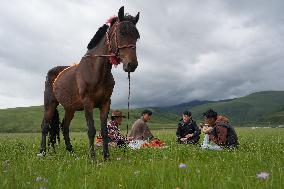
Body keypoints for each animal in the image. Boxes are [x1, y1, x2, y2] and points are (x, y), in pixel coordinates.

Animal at [38, 5, 140, 159]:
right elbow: (91, 129)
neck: (96, 71)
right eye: (122, 33)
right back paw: (42, 152)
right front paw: (92, 157)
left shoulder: (105, 103)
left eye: (137, 36)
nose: (131, 65)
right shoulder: (88, 103)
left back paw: (71, 151)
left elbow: (104, 131)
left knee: (64, 126)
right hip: (50, 104)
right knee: (45, 126)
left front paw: (106, 157)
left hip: (70, 108)